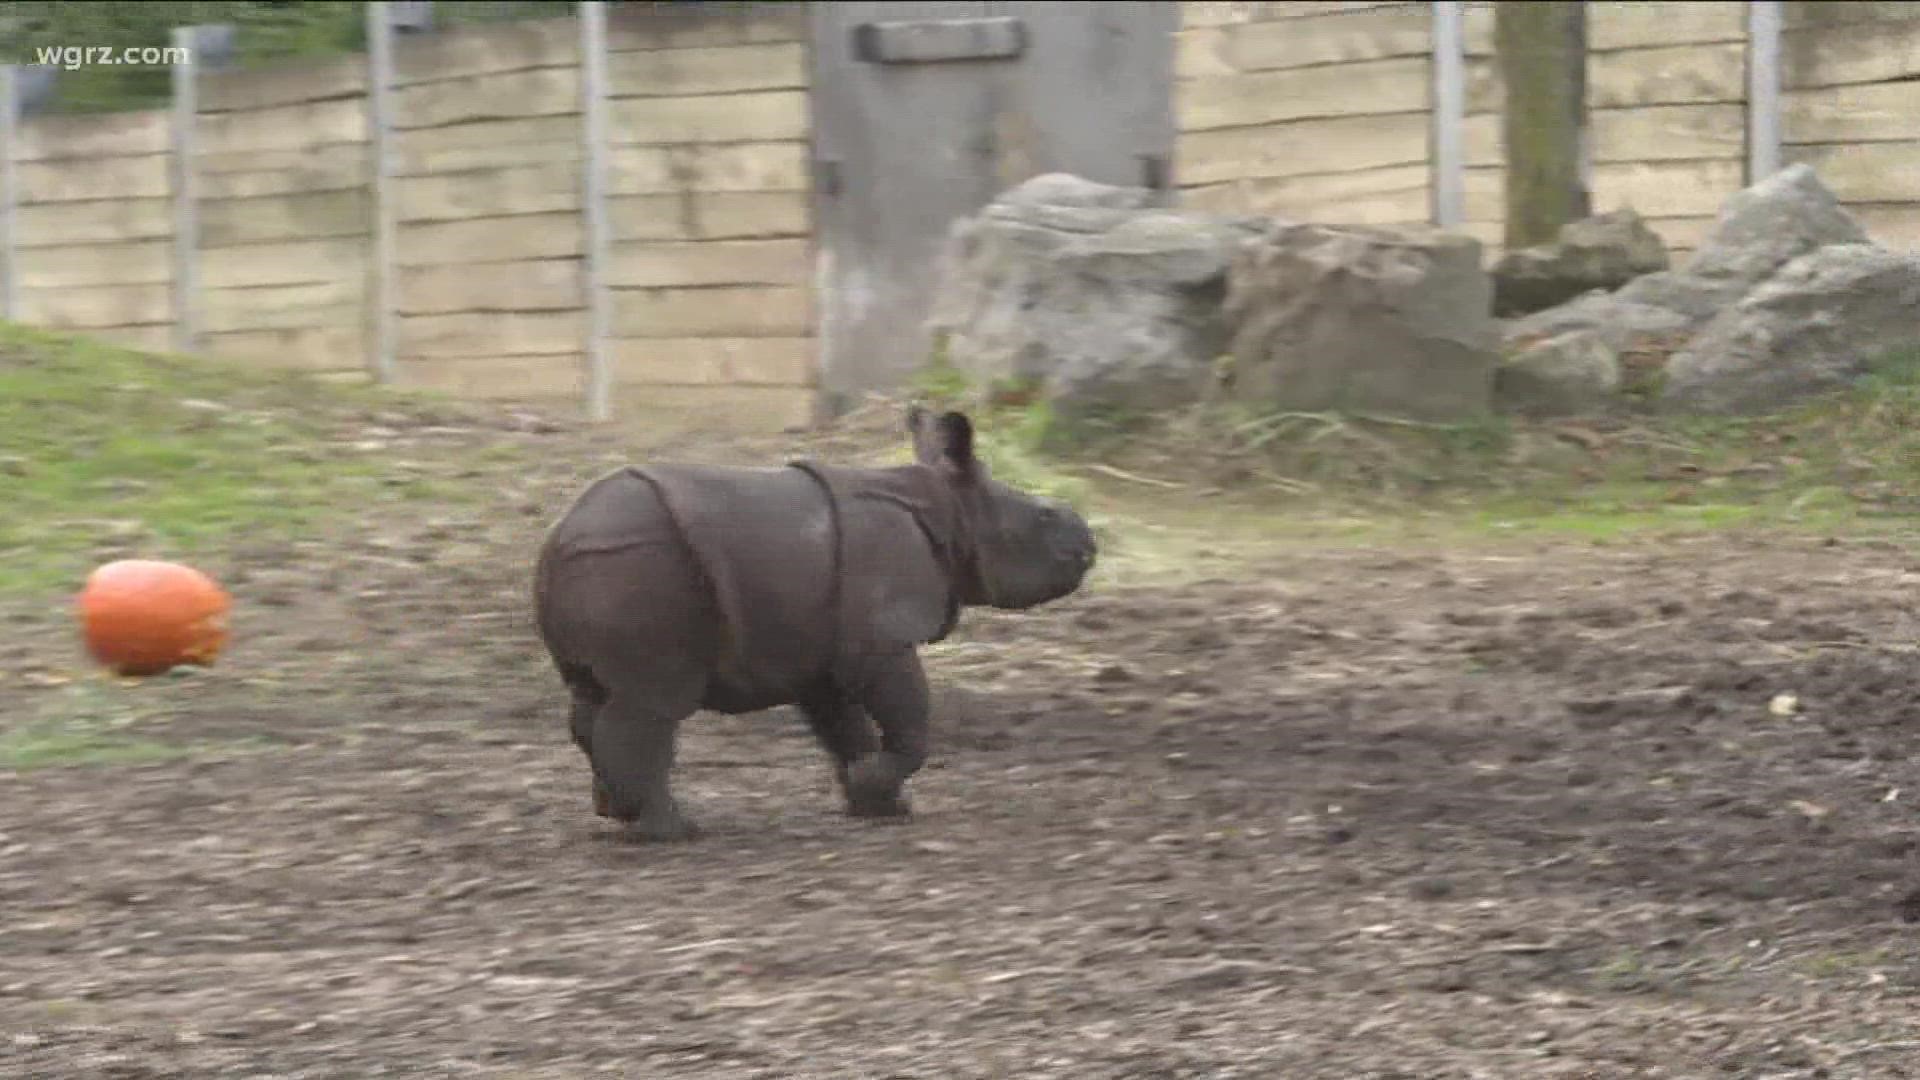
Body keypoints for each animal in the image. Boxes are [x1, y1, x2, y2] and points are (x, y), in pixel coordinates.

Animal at [529, 407, 1098, 837]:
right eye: (1044, 516)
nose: (1090, 542)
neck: (952, 509)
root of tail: (557, 540)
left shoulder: (823, 651)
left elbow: (844, 726)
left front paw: (880, 804)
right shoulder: (883, 637)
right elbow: (909, 721)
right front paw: (875, 785)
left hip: (617, 562)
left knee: (596, 696)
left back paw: (619, 814)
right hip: (640, 563)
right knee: (651, 702)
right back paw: (674, 831)